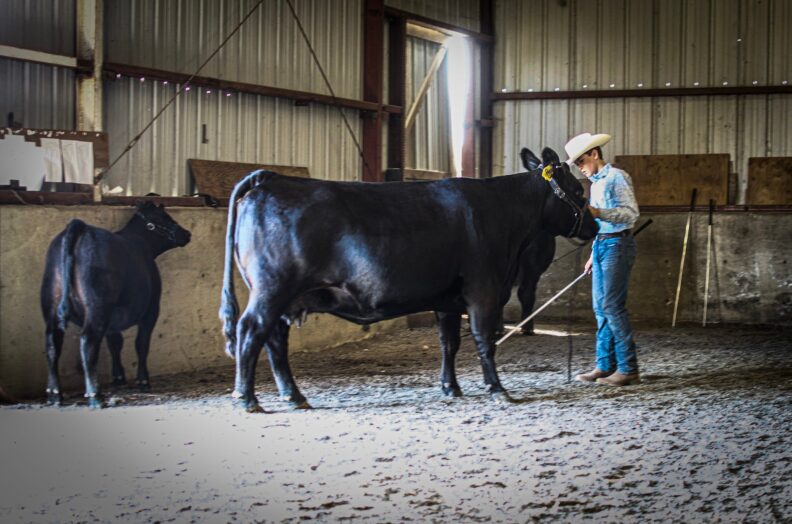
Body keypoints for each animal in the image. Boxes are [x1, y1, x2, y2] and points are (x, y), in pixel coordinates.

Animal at [40, 202, 191, 408]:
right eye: (166, 217)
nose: (186, 233)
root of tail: (81, 227)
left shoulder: (113, 318)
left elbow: (115, 343)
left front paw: (119, 378)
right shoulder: (151, 310)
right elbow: (141, 343)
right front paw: (143, 380)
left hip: (52, 306)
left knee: (52, 344)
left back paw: (54, 394)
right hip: (98, 307)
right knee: (88, 342)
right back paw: (95, 395)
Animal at [219, 148, 598, 412]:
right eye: (579, 192)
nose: (595, 227)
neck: (502, 217)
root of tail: (272, 179)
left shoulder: (449, 298)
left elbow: (449, 343)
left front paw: (451, 387)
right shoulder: (483, 290)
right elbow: (483, 339)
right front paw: (497, 389)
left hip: (285, 297)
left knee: (274, 339)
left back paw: (293, 396)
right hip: (272, 289)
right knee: (251, 331)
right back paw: (248, 399)